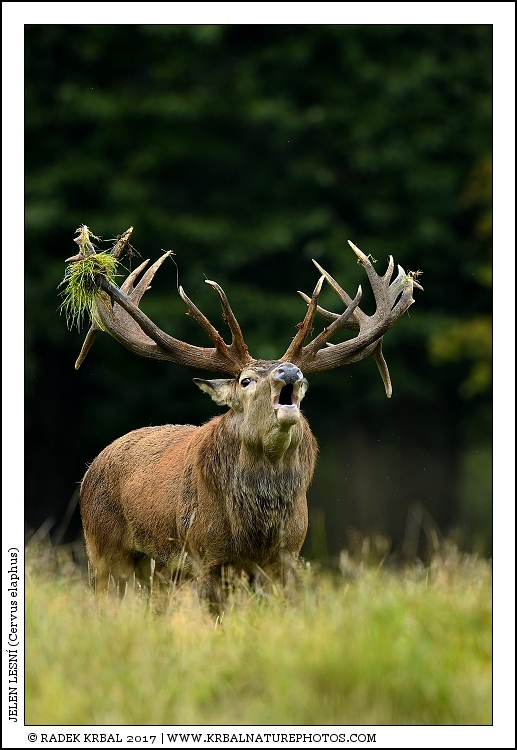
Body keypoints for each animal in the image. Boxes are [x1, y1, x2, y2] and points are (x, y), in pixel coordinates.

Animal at [66, 228, 422, 610]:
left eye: (305, 382)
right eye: (246, 380)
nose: (290, 371)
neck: (255, 532)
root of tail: (90, 469)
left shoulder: (288, 554)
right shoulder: (204, 553)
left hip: (155, 571)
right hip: (103, 548)